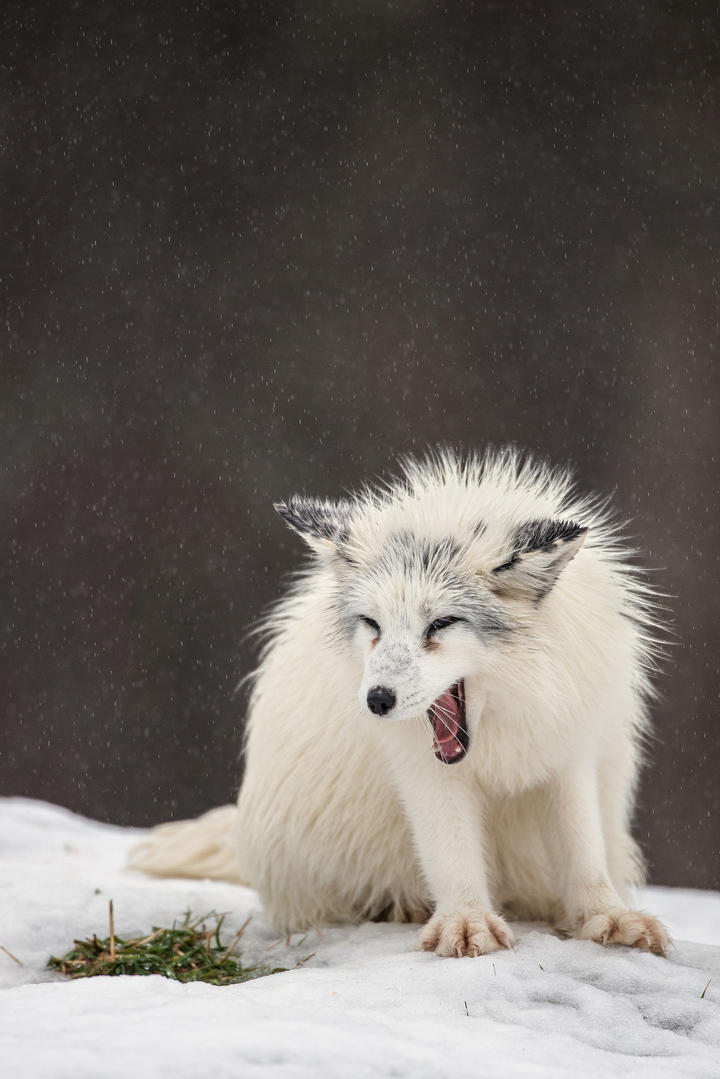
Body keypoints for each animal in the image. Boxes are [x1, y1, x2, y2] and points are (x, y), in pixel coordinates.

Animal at [131, 451, 669, 958]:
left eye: (442, 623)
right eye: (373, 623)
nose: (376, 700)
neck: (504, 721)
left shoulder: (567, 752)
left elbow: (584, 855)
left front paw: (607, 917)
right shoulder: (421, 769)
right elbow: (451, 853)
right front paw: (465, 921)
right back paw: (402, 906)